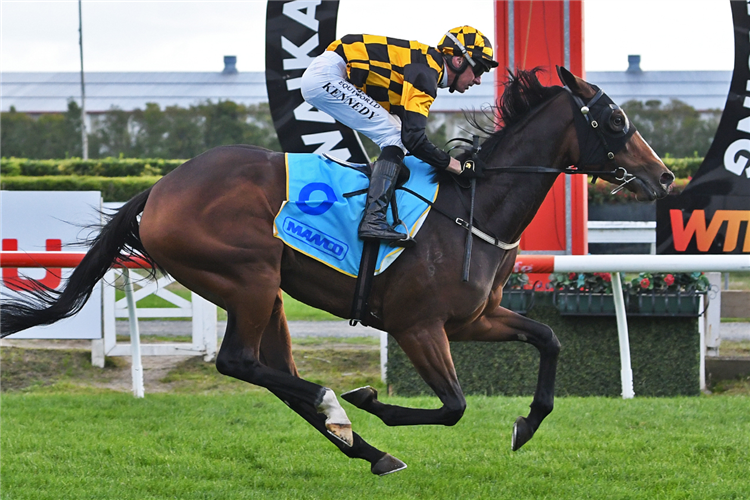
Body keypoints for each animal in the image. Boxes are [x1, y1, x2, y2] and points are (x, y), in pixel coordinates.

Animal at [0, 67, 674, 476]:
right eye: (616, 121)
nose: (665, 176)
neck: (474, 207)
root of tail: (160, 189)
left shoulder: (474, 319)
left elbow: (549, 338)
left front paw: (526, 425)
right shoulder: (417, 326)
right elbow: (453, 405)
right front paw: (369, 396)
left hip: (268, 294)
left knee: (273, 374)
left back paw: (365, 446)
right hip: (247, 279)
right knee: (241, 363)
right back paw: (339, 407)